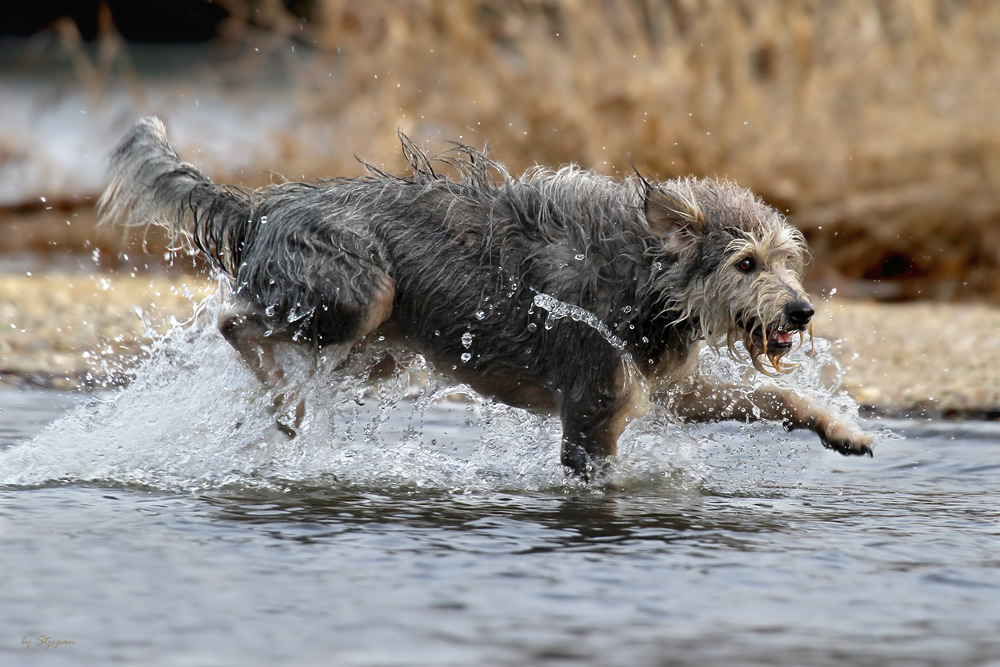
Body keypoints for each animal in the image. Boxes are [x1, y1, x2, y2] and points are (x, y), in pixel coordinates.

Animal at [97, 116, 872, 480]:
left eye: (788, 260)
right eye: (745, 262)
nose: (801, 311)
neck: (643, 278)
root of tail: (263, 206)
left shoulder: (666, 384)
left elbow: (773, 396)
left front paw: (842, 428)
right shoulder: (593, 409)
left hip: (377, 351)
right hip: (360, 295)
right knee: (235, 322)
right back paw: (283, 403)